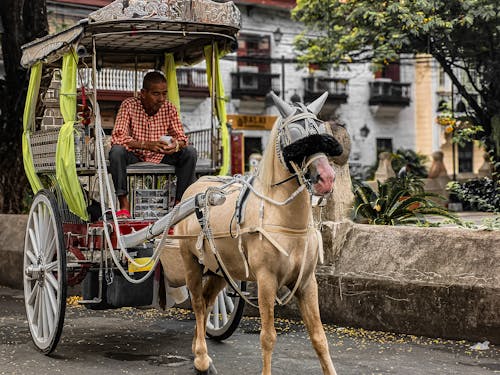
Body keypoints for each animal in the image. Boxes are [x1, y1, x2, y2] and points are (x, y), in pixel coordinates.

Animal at [176, 92, 344, 375]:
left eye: (321, 133)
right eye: (294, 137)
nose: (327, 179)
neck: (285, 220)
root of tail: (195, 187)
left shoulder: (307, 282)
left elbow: (319, 337)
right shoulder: (266, 281)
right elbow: (268, 337)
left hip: (222, 269)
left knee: (209, 302)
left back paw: (200, 351)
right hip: (190, 263)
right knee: (198, 304)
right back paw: (200, 358)